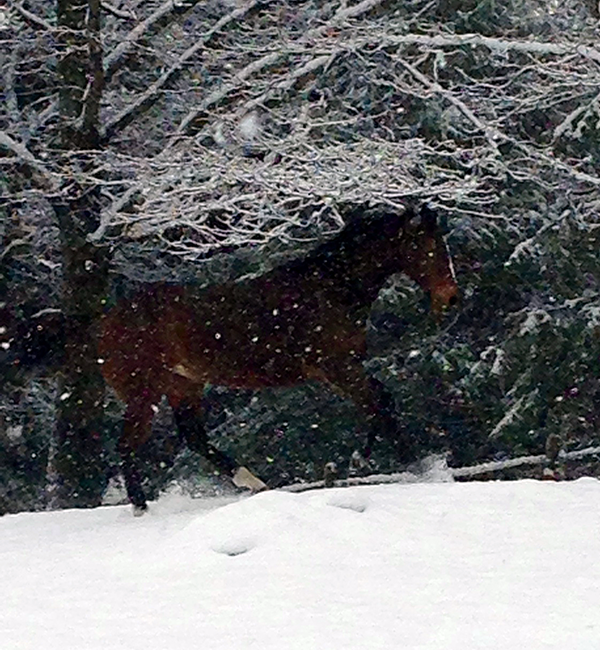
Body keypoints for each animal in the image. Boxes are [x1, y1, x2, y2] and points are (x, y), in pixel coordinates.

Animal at [101, 204, 460, 512]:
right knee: (127, 445)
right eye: (429, 247)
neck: (330, 289)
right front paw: (413, 466)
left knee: (194, 438)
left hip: (183, 385)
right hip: (144, 393)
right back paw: (140, 507)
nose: (451, 298)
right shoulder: (338, 368)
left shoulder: (343, 369)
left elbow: (381, 402)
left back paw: (253, 482)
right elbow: (379, 405)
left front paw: (359, 461)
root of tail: (106, 323)